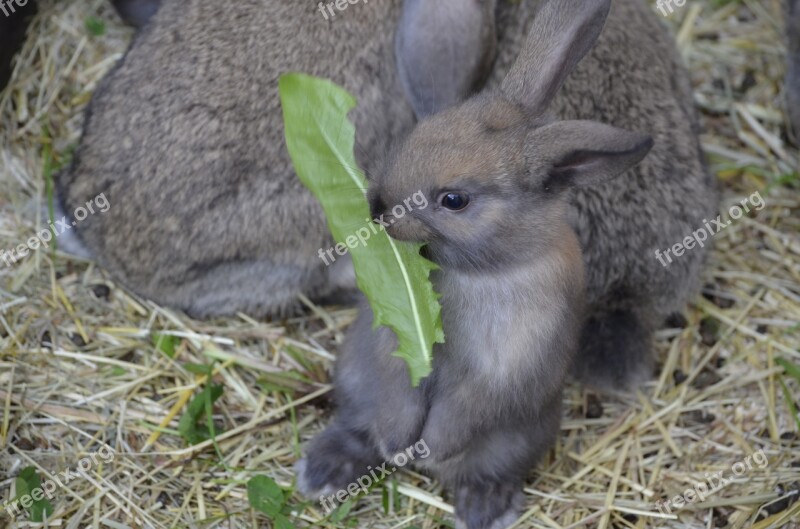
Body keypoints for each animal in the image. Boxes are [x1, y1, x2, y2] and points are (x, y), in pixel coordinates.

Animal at [296, 2, 652, 524]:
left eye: (454, 200)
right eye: (412, 136)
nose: (377, 208)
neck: (483, 270)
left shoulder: (503, 368)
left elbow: (465, 408)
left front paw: (428, 450)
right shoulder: (396, 349)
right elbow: (401, 389)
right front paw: (399, 444)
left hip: (519, 437)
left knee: (486, 471)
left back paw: (483, 508)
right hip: (355, 381)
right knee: (359, 430)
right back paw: (324, 472)